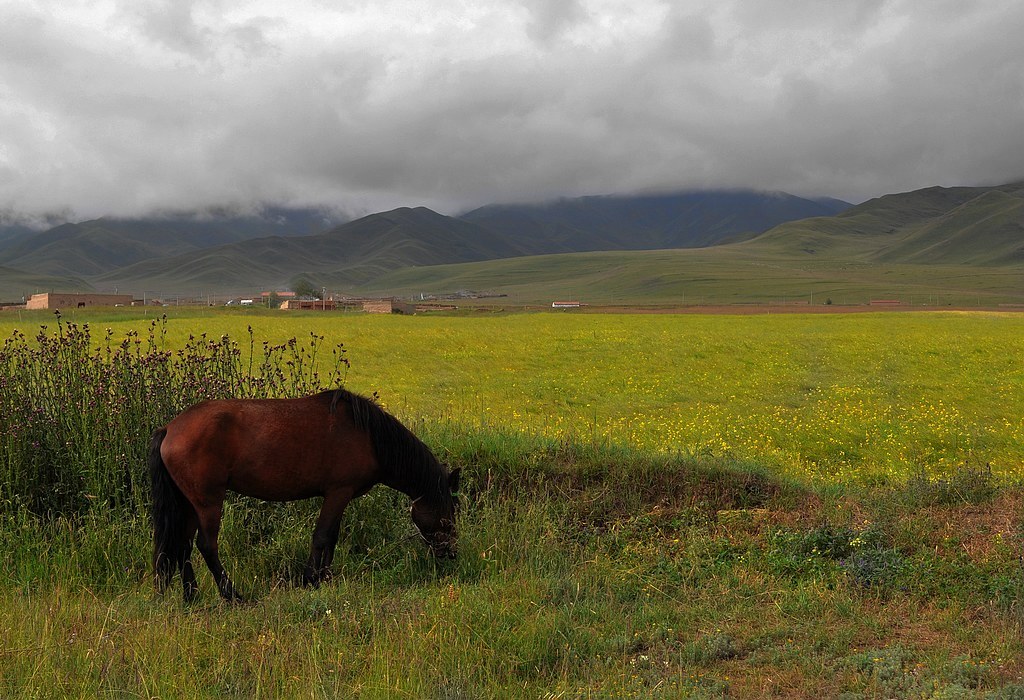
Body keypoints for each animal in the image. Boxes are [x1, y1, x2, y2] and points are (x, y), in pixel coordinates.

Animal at [148, 388, 460, 601]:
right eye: (447, 517)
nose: (450, 554)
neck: (369, 436)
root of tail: (169, 428)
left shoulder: (338, 497)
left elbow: (331, 538)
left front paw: (324, 578)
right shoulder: (338, 493)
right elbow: (322, 536)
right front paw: (311, 579)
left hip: (188, 503)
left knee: (183, 546)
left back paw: (192, 596)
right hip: (208, 502)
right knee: (206, 546)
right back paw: (232, 595)